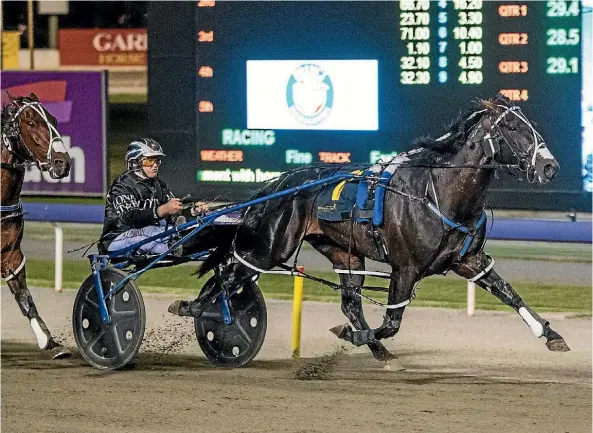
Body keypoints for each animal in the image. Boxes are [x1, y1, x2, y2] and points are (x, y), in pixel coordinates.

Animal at [1, 91, 71, 358]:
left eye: (54, 119)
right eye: (30, 122)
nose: (63, 163)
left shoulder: (10, 253)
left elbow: (24, 297)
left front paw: (50, 343)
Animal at [171, 95, 568, 362]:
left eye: (529, 125)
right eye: (513, 128)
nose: (550, 166)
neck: (439, 194)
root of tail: (277, 183)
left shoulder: (470, 260)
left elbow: (510, 294)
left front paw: (551, 334)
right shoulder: (405, 268)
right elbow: (392, 322)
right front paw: (354, 336)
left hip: (344, 254)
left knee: (349, 302)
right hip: (269, 248)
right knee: (229, 276)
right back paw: (196, 308)